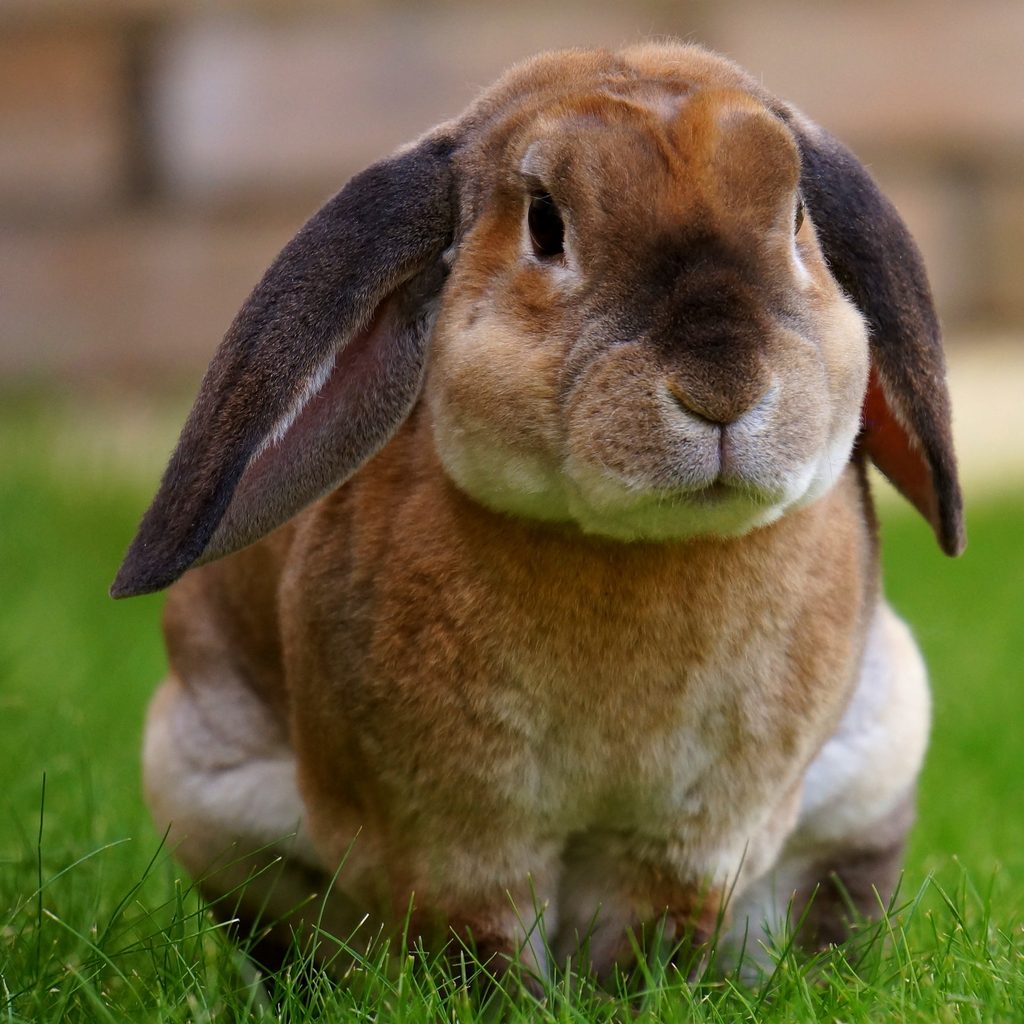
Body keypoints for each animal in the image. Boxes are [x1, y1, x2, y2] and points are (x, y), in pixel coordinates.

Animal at [112, 41, 964, 982]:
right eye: (546, 225)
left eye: (797, 217)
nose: (722, 387)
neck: (635, 550)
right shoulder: (456, 842)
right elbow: (481, 946)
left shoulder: (686, 843)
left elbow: (647, 938)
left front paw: (634, 994)